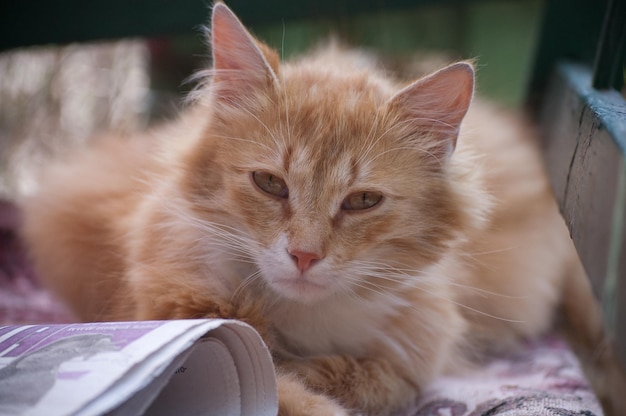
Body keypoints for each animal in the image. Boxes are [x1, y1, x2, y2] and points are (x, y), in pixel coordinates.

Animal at [17, 3, 620, 416]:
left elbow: (374, 381)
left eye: (362, 201)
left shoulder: (414, 352)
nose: (304, 256)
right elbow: (286, 391)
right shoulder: (182, 320)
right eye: (269, 184)